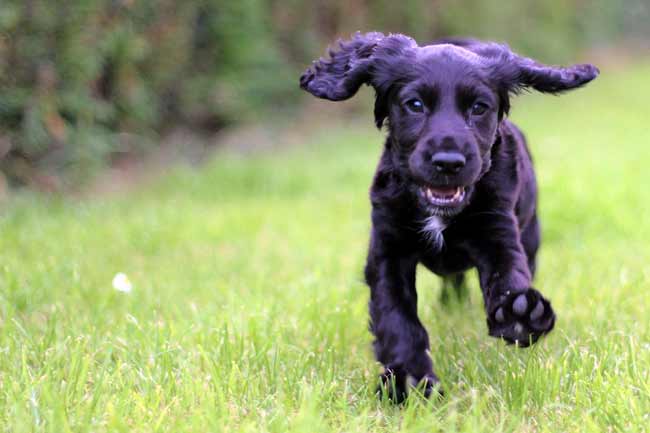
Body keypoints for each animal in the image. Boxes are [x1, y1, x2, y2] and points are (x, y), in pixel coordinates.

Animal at [298, 32, 596, 400]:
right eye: (414, 105)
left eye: (479, 107)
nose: (448, 162)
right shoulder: (387, 249)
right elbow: (396, 317)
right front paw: (409, 380)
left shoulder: (497, 230)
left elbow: (508, 274)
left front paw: (520, 314)